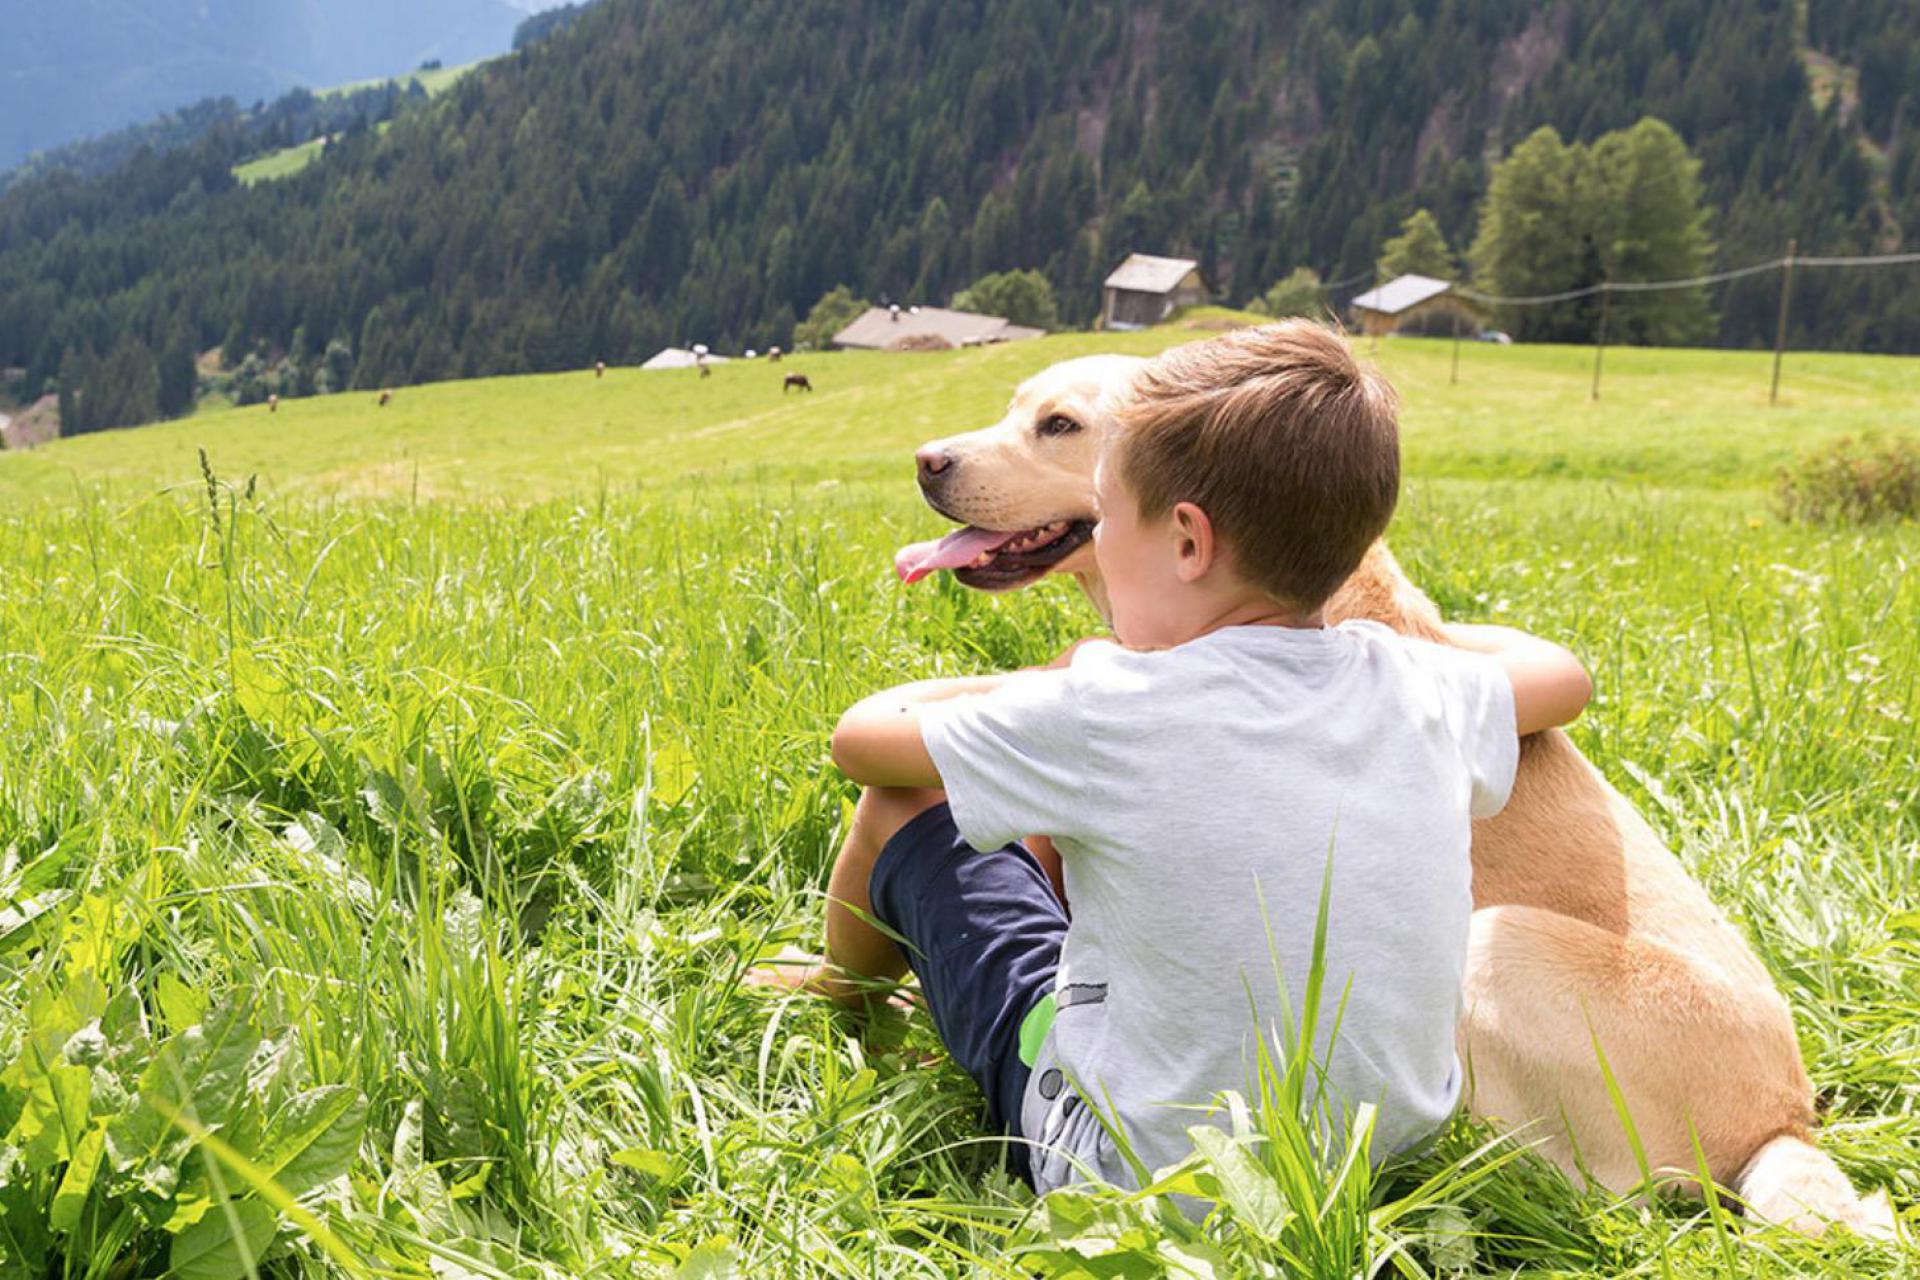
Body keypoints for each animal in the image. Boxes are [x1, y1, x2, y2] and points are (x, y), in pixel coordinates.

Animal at [898, 351, 1889, 1243]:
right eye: (1014, 406)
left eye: (1059, 424)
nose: (926, 460)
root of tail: (1786, 1123)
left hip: (1499, 945)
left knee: (1585, 1192)